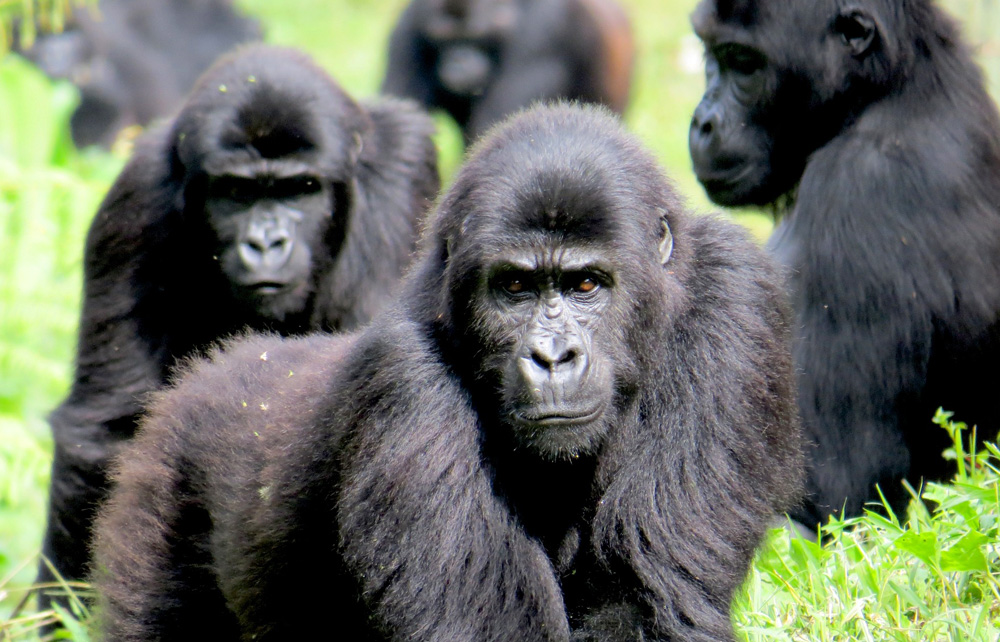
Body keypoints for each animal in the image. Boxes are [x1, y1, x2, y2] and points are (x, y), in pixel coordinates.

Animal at [90, 105, 800, 640]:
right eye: (514, 287)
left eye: (586, 284)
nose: (552, 357)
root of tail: (204, 376)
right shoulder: (405, 378)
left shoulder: (734, 298)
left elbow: (641, 604)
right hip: (160, 491)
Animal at [688, 0, 1000, 524]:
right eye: (711, 54)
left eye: (744, 62)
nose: (703, 121)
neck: (892, 90)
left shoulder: (856, 193)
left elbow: (834, 498)